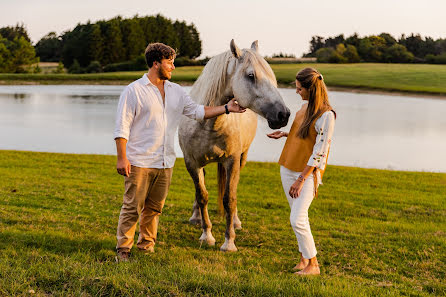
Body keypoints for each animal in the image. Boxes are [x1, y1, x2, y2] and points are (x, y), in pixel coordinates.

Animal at [179, 40, 290, 251]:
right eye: (251, 76)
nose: (284, 114)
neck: (209, 122)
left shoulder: (232, 161)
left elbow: (229, 198)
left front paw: (229, 241)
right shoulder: (192, 163)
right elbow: (202, 195)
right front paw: (207, 235)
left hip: (241, 159)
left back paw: (236, 222)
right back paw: (196, 217)